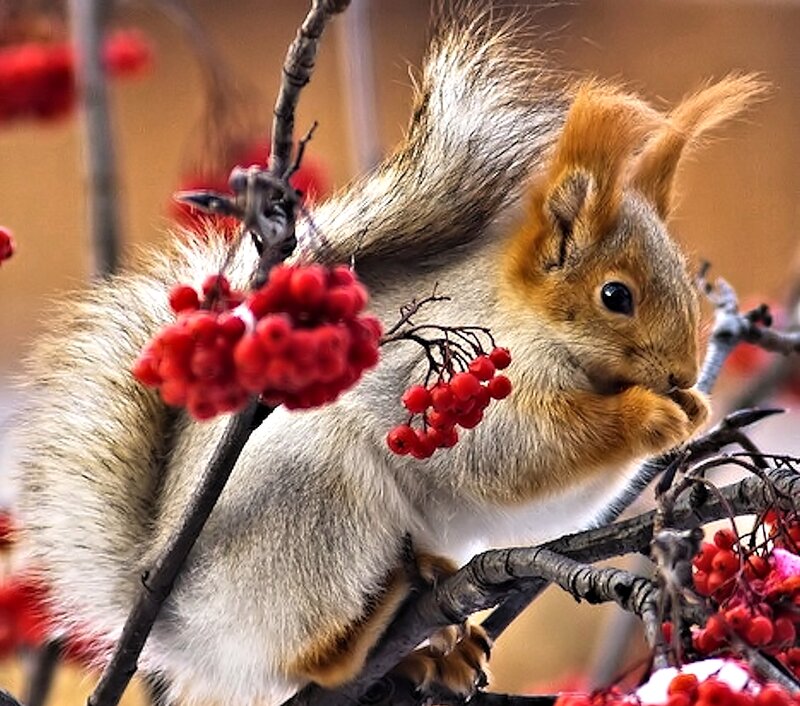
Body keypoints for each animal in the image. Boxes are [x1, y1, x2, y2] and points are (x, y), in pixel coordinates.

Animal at [8, 6, 766, 706]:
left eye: (683, 278)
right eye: (616, 295)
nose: (680, 373)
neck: (531, 325)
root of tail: (179, 626)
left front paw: (693, 406)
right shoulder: (451, 390)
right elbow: (518, 455)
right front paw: (650, 416)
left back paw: (437, 646)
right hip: (314, 507)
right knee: (307, 657)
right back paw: (375, 628)